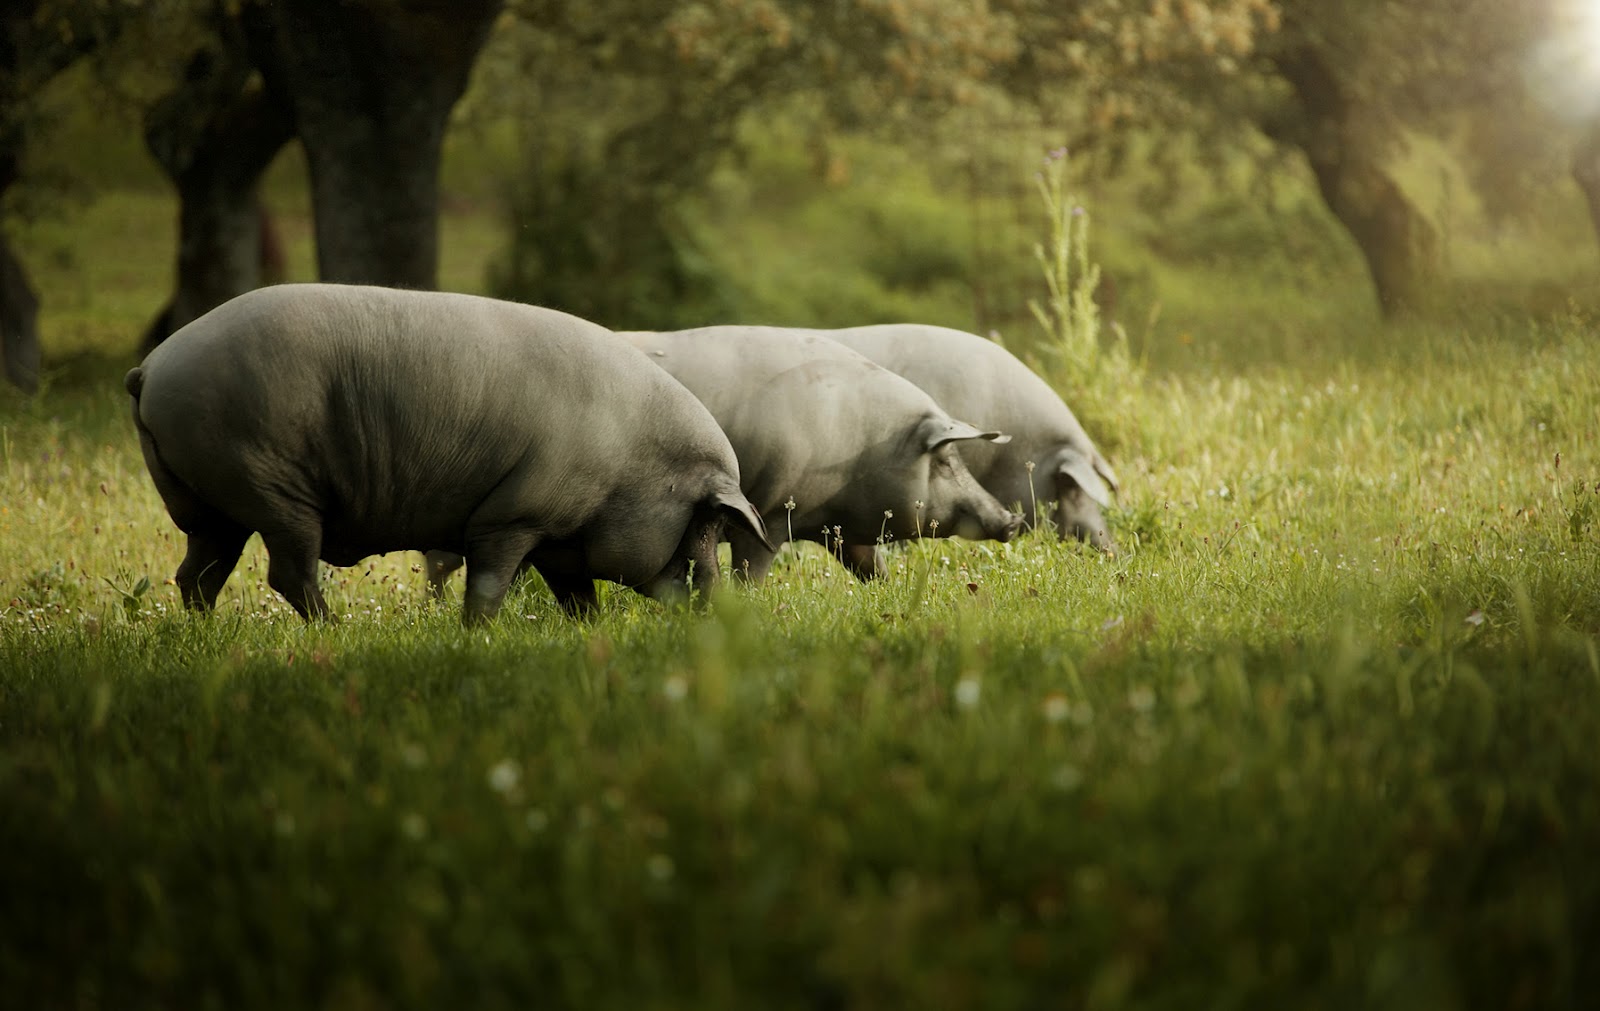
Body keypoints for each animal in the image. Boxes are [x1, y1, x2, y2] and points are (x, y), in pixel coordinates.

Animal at [124, 283, 771, 623]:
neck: (632, 464)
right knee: (287, 571)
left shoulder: (560, 536)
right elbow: (489, 583)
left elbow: (577, 593)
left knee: (197, 573)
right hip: (271, 486)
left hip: (212, 504)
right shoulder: (513, 517)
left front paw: (589, 631)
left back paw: (205, 633)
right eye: (706, 524)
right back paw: (333, 631)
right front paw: (475, 633)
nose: (723, 611)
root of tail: (151, 366)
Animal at [613, 325, 1024, 580]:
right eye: (944, 460)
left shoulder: (841, 529)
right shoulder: (769, 514)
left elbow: (873, 567)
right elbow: (750, 574)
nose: (1012, 520)